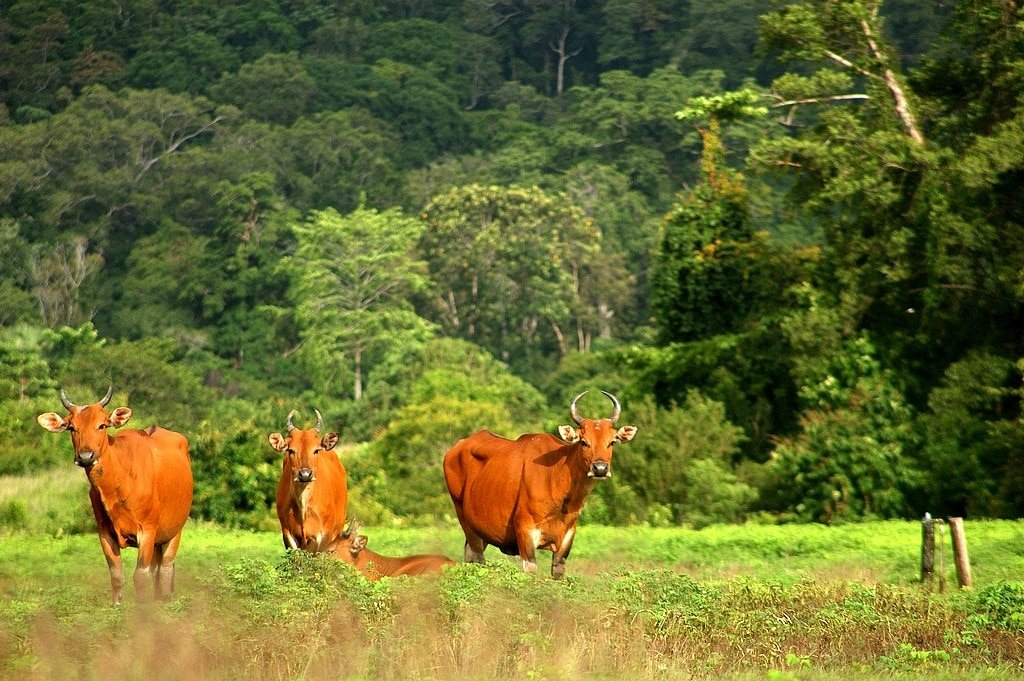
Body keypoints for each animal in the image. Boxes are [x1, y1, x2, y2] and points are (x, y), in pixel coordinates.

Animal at [35, 385, 192, 602]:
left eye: (102, 425)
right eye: (71, 427)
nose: (85, 456)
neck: (121, 482)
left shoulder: (147, 531)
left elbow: (139, 577)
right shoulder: (105, 534)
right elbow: (117, 577)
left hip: (175, 531)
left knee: (166, 569)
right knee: (156, 571)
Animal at [268, 409, 348, 552]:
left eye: (316, 450)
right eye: (291, 450)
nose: (305, 475)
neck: (303, 507)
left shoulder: (324, 535)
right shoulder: (287, 533)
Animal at [444, 391, 634, 577]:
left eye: (612, 442)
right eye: (584, 441)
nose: (600, 468)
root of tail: (455, 449)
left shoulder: (567, 537)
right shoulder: (525, 532)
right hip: (465, 520)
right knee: (476, 557)